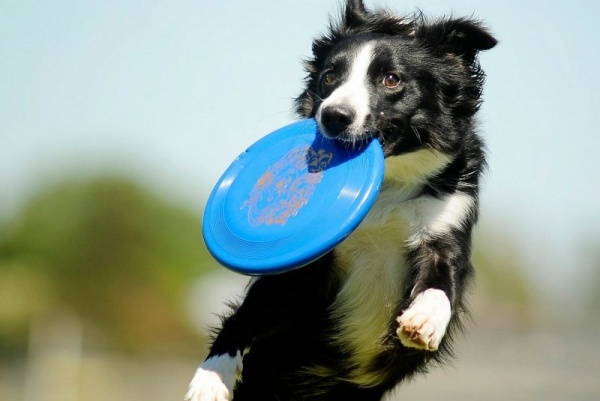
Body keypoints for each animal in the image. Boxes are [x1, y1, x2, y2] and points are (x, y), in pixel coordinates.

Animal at [188, 1, 496, 398]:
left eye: (391, 79)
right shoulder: (307, 265)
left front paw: (423, 320)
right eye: (330, 77)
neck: (386, 187)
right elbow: (249, 313)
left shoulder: (447, 220)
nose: (333, 116)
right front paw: (211, 376)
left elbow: (442, 281)